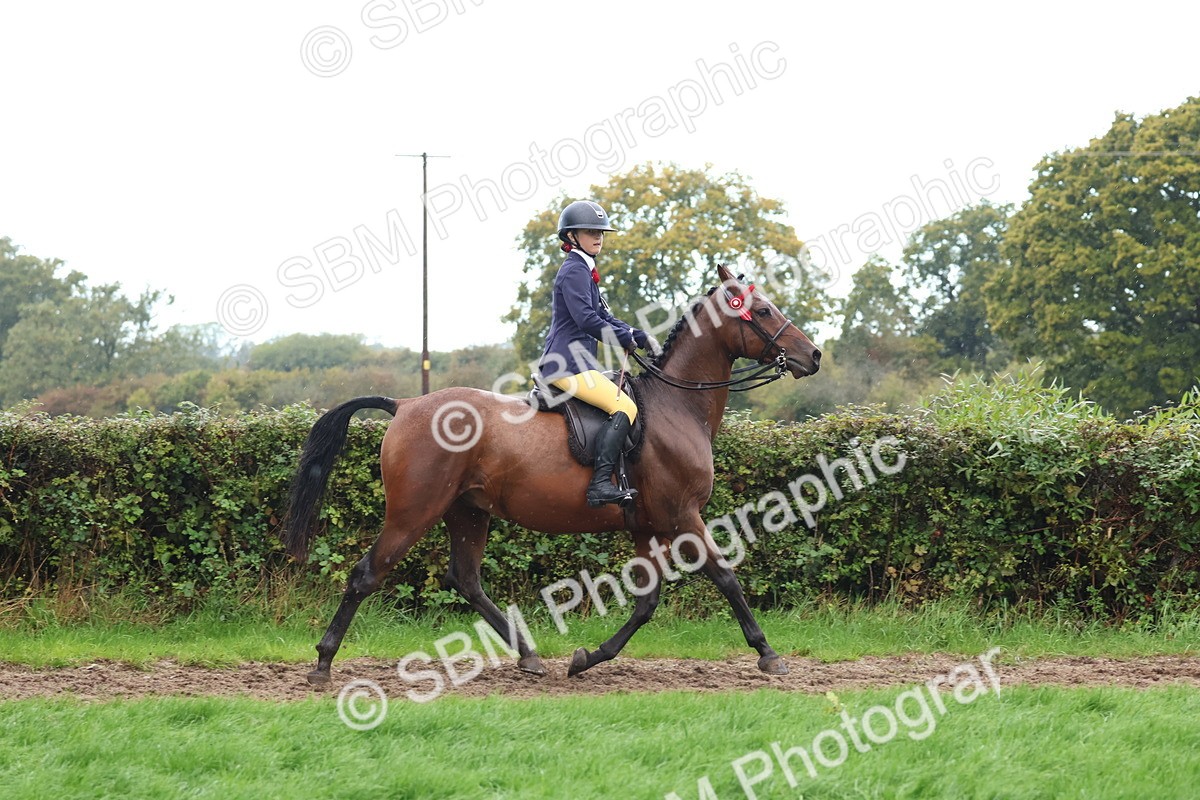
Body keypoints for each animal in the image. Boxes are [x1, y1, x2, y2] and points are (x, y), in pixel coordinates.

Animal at [283, 264, 821, 685]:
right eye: (763, 310)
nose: (812, 355)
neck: (676, 405)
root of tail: (405, 404)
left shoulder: (647, 526)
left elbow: (646, 602)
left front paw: (587, 658)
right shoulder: (683, 516)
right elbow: (726, 577)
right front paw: (768, 654)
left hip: (467, 511)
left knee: (466, 579)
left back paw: (529, 656)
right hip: (414, 512)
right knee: (367, 575)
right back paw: (323, 663)